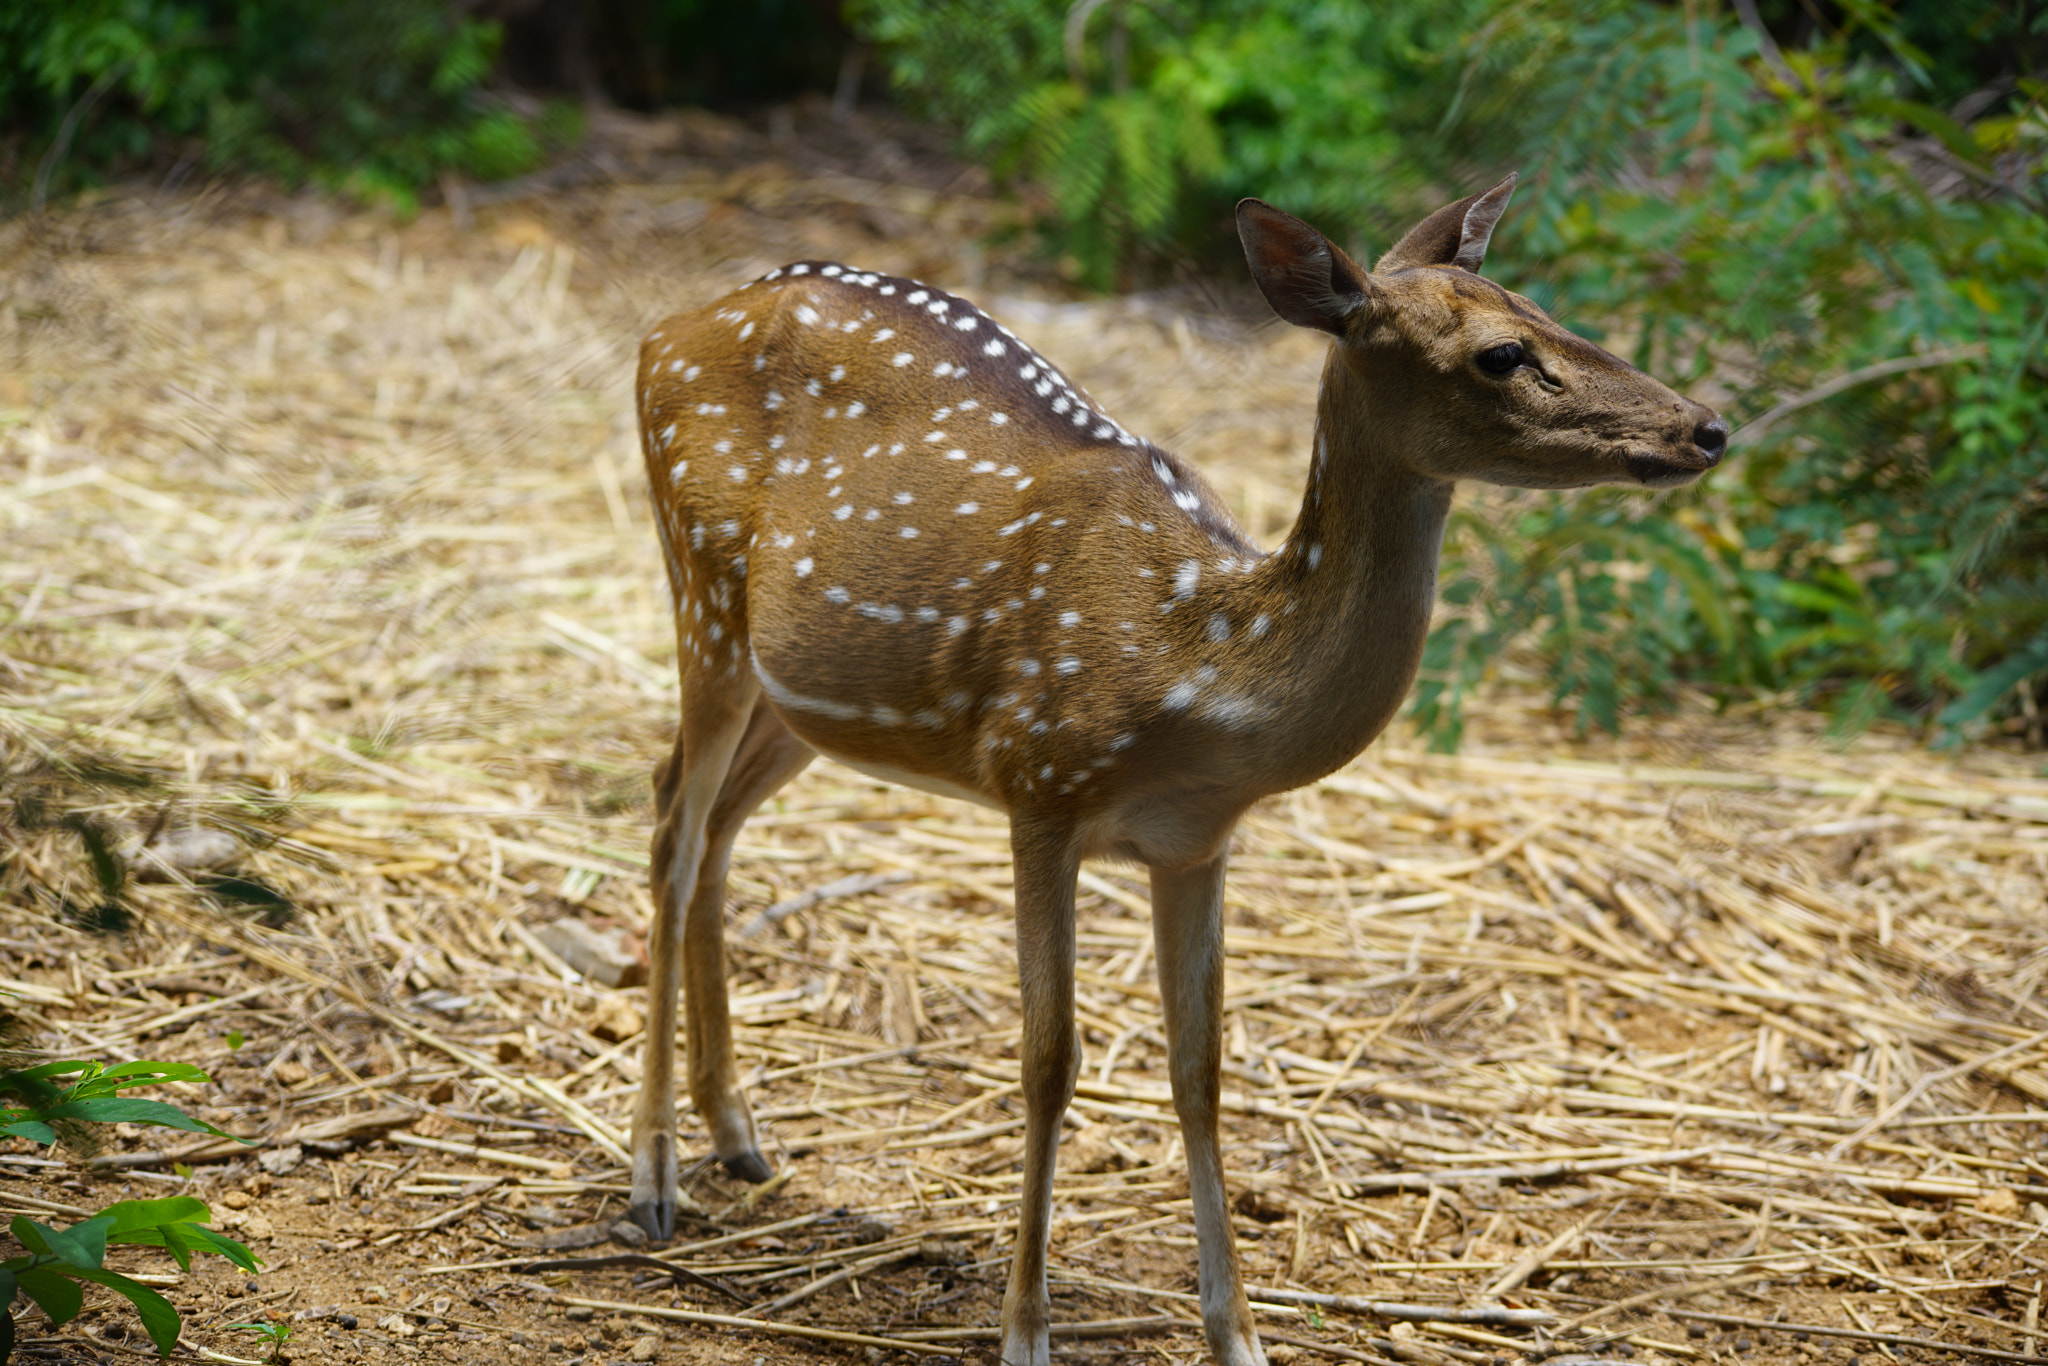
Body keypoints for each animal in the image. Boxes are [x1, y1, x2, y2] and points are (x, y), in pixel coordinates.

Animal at [622, 176, 1728, 1366]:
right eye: (1500, 353)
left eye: (1541, 306)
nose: (1704, 426)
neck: (1198, 669)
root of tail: (665, 327)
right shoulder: (1038, 782)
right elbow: (1048, 1061)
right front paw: (1024, 1334)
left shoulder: (1196, 840)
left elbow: (1200, 1069)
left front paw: (1236, 1337)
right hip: (701, 586)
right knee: (671, 826)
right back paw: (651, 1181)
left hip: (804, 692)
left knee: (713, 826)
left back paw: (738, 1134)